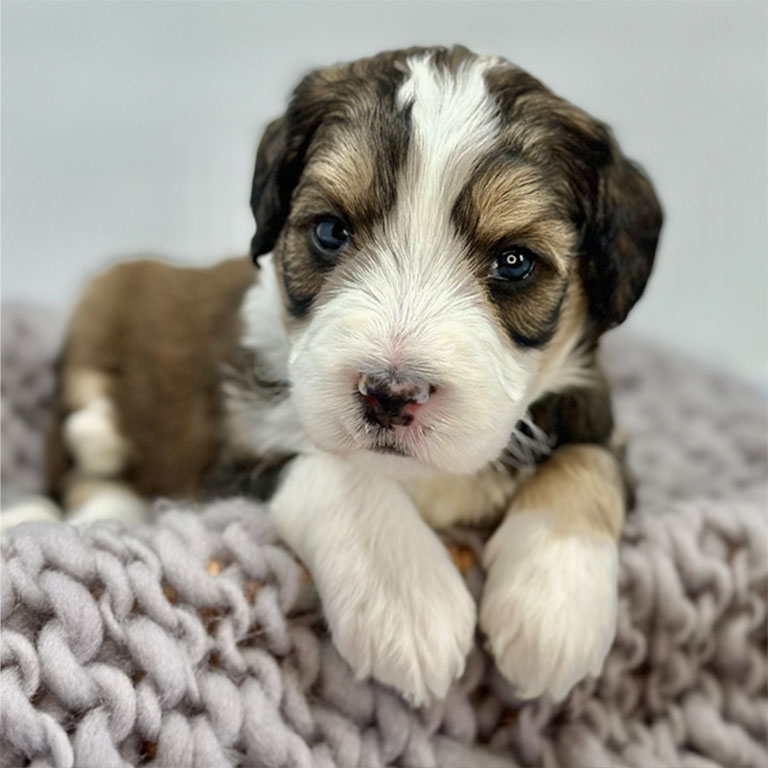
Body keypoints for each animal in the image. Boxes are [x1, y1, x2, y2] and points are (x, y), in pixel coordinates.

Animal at [46, 45, 660, 708]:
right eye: (330, 231)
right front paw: (409, 604)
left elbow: (586, 465)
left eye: (515, 262)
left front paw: (553, 612)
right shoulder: (231, 463)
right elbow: (333, 470)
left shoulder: (596, 416)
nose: (390, 394)